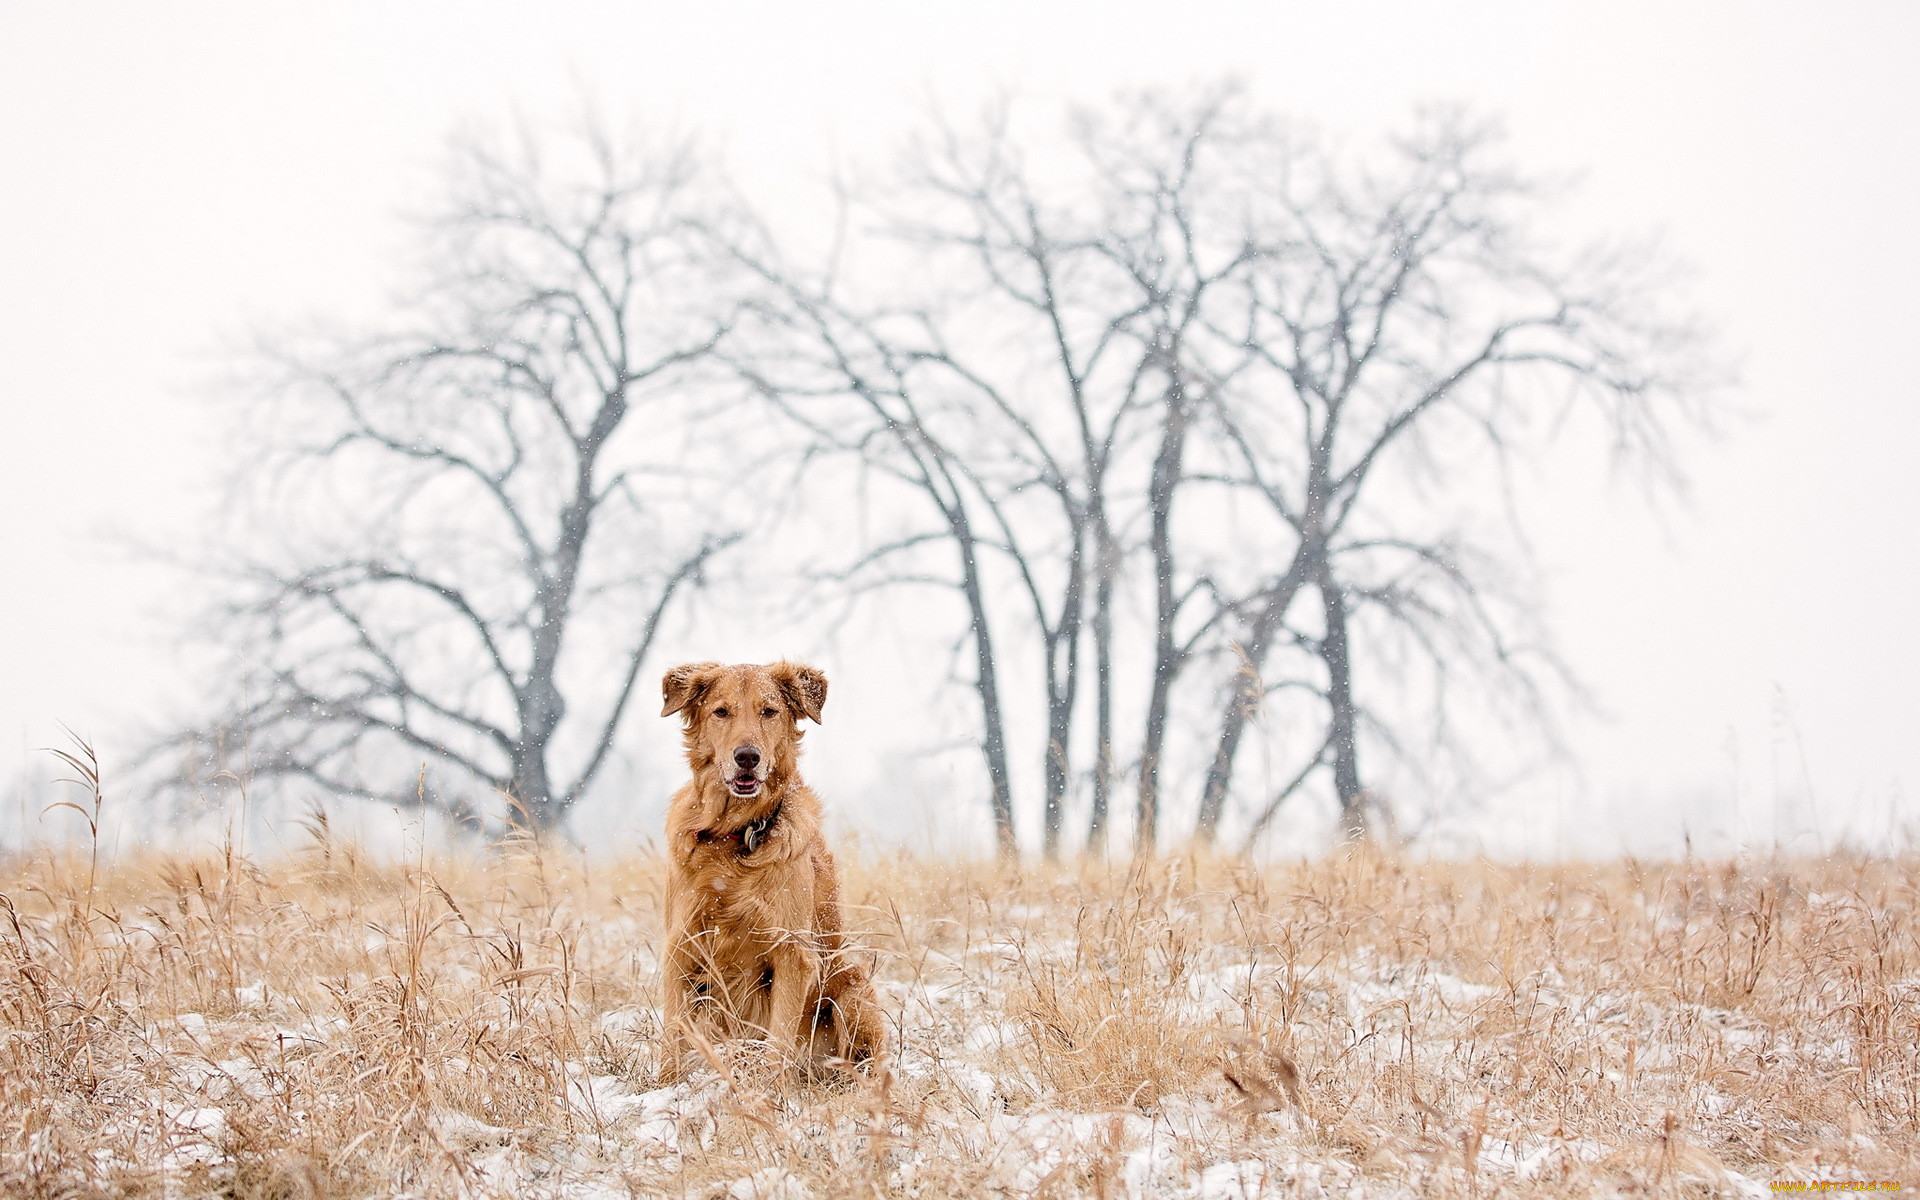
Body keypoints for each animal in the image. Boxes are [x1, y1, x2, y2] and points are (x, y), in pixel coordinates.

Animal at [660, 660, 883, 1082]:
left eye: (769, 711)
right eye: (721, 712)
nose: (747, 756)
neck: (736, 834)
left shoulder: (792, 952)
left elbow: (778, 1041)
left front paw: (772, 1091)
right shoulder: (682, 945)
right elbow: (673, 1032)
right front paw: (664, 1086)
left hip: (852, 985)